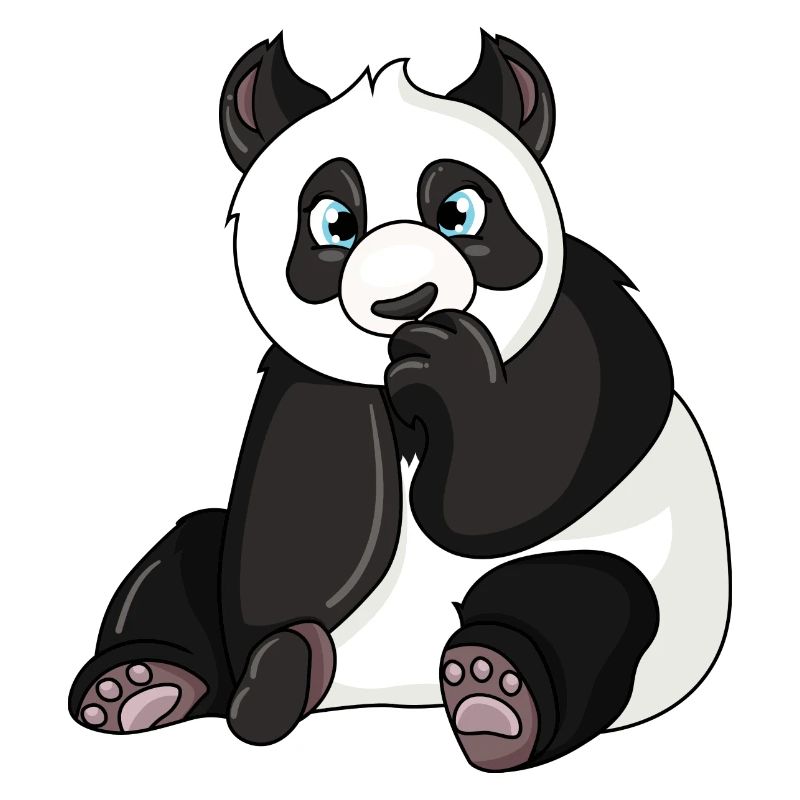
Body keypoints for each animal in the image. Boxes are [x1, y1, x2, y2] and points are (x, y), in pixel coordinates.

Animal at [69, 31, 731, 773]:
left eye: (460, 212)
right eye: (335, 224)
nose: (406, 302)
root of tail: (387, 689)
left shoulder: (583, 329)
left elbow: (509, 486)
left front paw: (455, 373)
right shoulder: (305, 385)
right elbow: (295, 517)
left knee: (586, 597)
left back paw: (495, 695)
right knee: (192, 548)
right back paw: (161, 683)